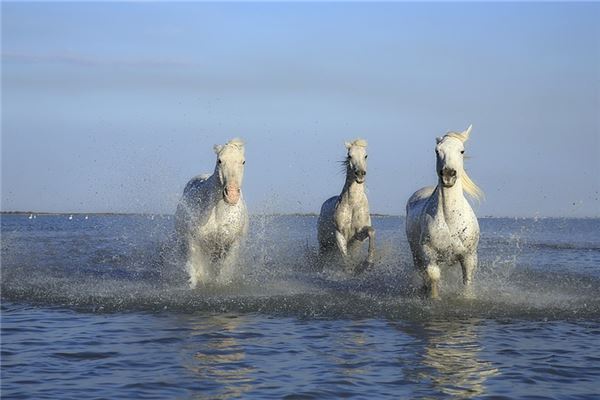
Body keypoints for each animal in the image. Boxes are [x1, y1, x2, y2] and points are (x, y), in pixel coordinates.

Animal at [175, 138, 250, 288]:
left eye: (243, 161)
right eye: (219, 160)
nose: (231, 195)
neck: (218, 212)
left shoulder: (232, 244)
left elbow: (224, 272)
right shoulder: (194, 241)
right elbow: (197, 271)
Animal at [318, 139, 376, 274]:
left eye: (366, 155)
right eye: (349, 155)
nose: (360, 174)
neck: (353, 204)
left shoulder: (358, 235)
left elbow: (371, 231)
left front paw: (368, 263)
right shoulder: (339, 233)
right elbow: (345, 256)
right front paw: (350, 270)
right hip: (323, 244)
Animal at [404, 123, 482, 298]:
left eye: (462, 151)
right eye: (437, 150)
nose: (448, 174)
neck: (451, 219)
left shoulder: (469, 257)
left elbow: (467, 282)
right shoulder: (429, 254)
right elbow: (433, 277)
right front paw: (434, 298)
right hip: (416, 254)